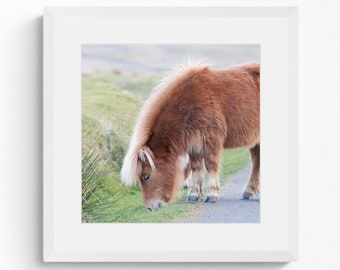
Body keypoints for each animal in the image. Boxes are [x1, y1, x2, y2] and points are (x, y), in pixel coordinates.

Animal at [120, 62, 260, 211]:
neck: (190, 103)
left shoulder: (210, 141)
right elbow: (196, 168)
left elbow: (211, 165)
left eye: (146, 176)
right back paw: (249, 191)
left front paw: (212, 194)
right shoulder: (194, 144)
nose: (150, 208)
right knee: (256, 162)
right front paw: (193, 194)